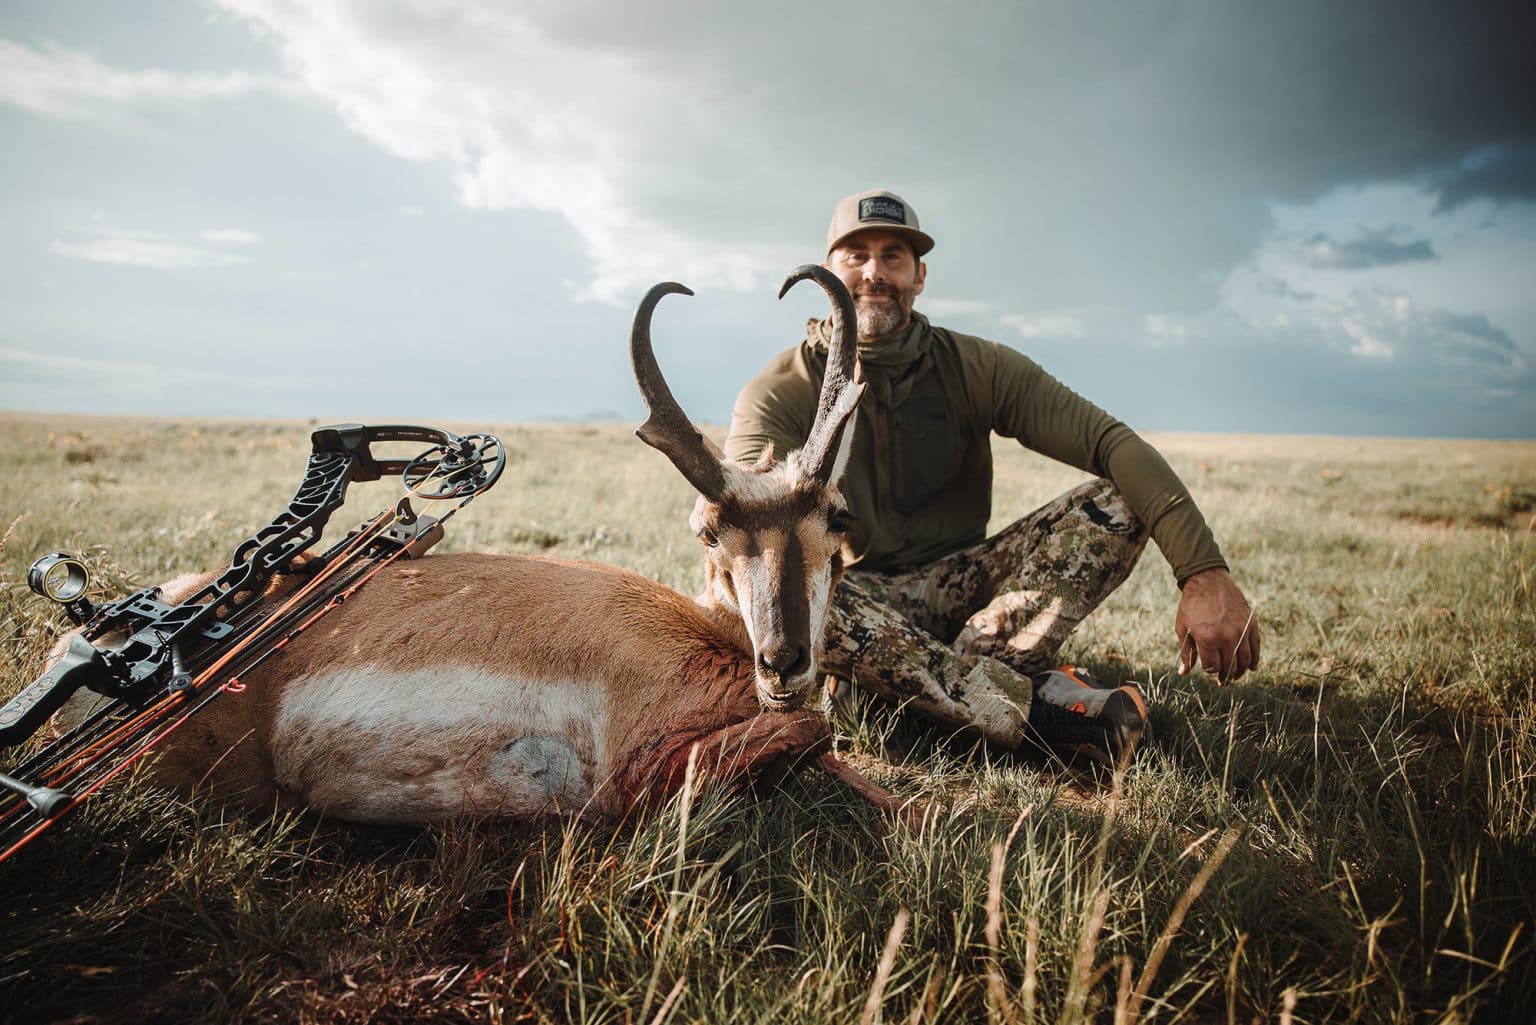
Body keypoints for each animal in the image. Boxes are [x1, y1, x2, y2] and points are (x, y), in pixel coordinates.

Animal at [51, 266, 901, 824]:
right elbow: (812, 733)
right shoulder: (641, 768)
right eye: (707, 528)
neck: (694, 630)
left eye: (838, 517)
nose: (784, 661)